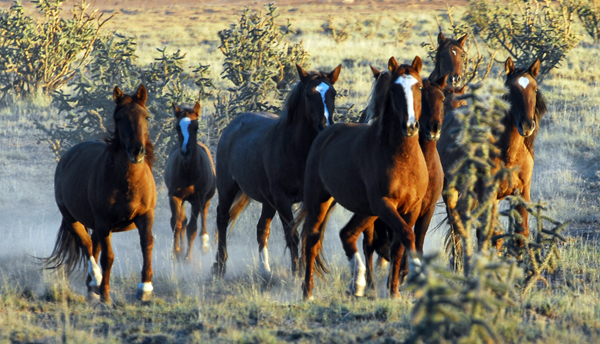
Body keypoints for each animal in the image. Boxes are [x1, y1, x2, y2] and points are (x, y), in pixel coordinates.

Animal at [45, 84, 157, 302]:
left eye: (146, 117)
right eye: (119, 118)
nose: (137, 151)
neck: (128, 183)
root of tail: (68, 156)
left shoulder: (145, 216)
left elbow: (147, 245)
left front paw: (145, 289)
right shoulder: (105, 223)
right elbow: (108, 257)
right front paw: (105, 294)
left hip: (95, 225)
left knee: (94, 246)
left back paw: (92, 289)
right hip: (73, 219)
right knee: (88, 246)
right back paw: (95, 282)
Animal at [165, 102, 217, 264]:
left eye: (196, 127)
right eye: (177, 127)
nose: (185, 151)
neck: (188, 172)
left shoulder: (197, 199)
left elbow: (192, 228)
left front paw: (188, 257)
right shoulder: (175, 197)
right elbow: (177, 224)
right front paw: (176, 253)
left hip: (206, 198)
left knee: (203, 215)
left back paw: (204, 244)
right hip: (182, 200)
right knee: (182, 221)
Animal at [214, 63, 342, 276]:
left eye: (333, 93)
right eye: (309, 94)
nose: (324, 126)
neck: (296, 150)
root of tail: (233, 126)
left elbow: (310, 236)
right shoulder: (283, 199)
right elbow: (293, 236)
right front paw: (297, 272)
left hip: (268, 200)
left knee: (261, 228)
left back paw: (265, 270)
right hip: (227, 189)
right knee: (222, 220)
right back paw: (220, 266)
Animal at [300, 55, 426, 298]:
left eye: (420, 86)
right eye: (395, 88)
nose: (410, 126)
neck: (403, 157)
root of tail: (325, 133)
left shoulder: (411, 208)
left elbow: (398, 246)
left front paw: (395, 292)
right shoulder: (385, 204)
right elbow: (407, 235)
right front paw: (416, 275)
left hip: (366, 211)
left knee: (347, 234)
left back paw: (358, 282)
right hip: (319, 201)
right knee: (312, 240)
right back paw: (309, 292)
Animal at [438, 57, 548, 264]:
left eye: (535, 89)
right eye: (511, 90)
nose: (527, 125)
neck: (509, 155)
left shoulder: (522, 192)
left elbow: (520, 233)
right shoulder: (486, 193)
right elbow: (486, 234)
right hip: (452, 191)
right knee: (457, 227)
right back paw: (458, 263)